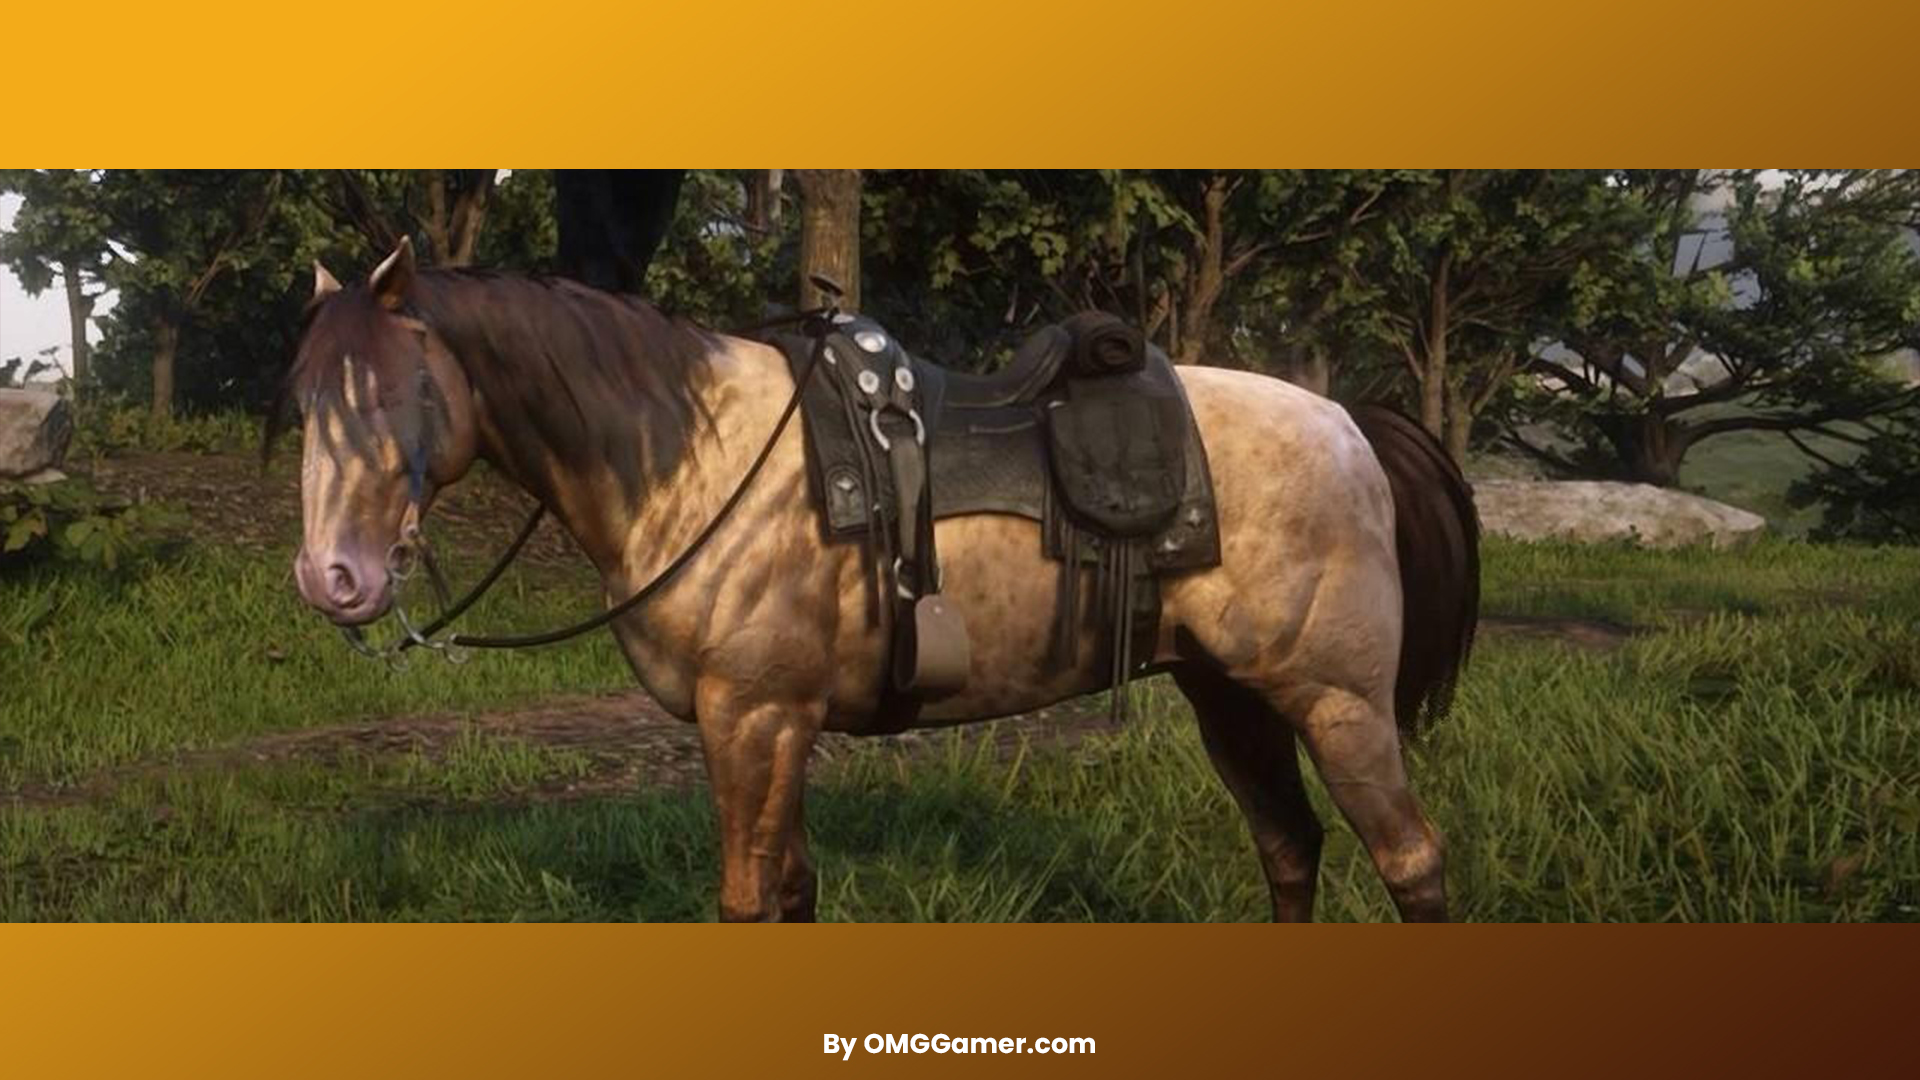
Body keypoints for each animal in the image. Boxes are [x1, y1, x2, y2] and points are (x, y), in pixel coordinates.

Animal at [277, 239, 1479, 922]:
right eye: (304, 395)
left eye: (394, 393)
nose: (333, 580)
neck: (693, 456)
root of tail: (1353, 426)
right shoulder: (776, 725)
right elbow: (794, 890)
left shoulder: (754, 717)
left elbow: (749, 901)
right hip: (1229, 696)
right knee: (1291, 850)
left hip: (1337, 700)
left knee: (1412, 863)